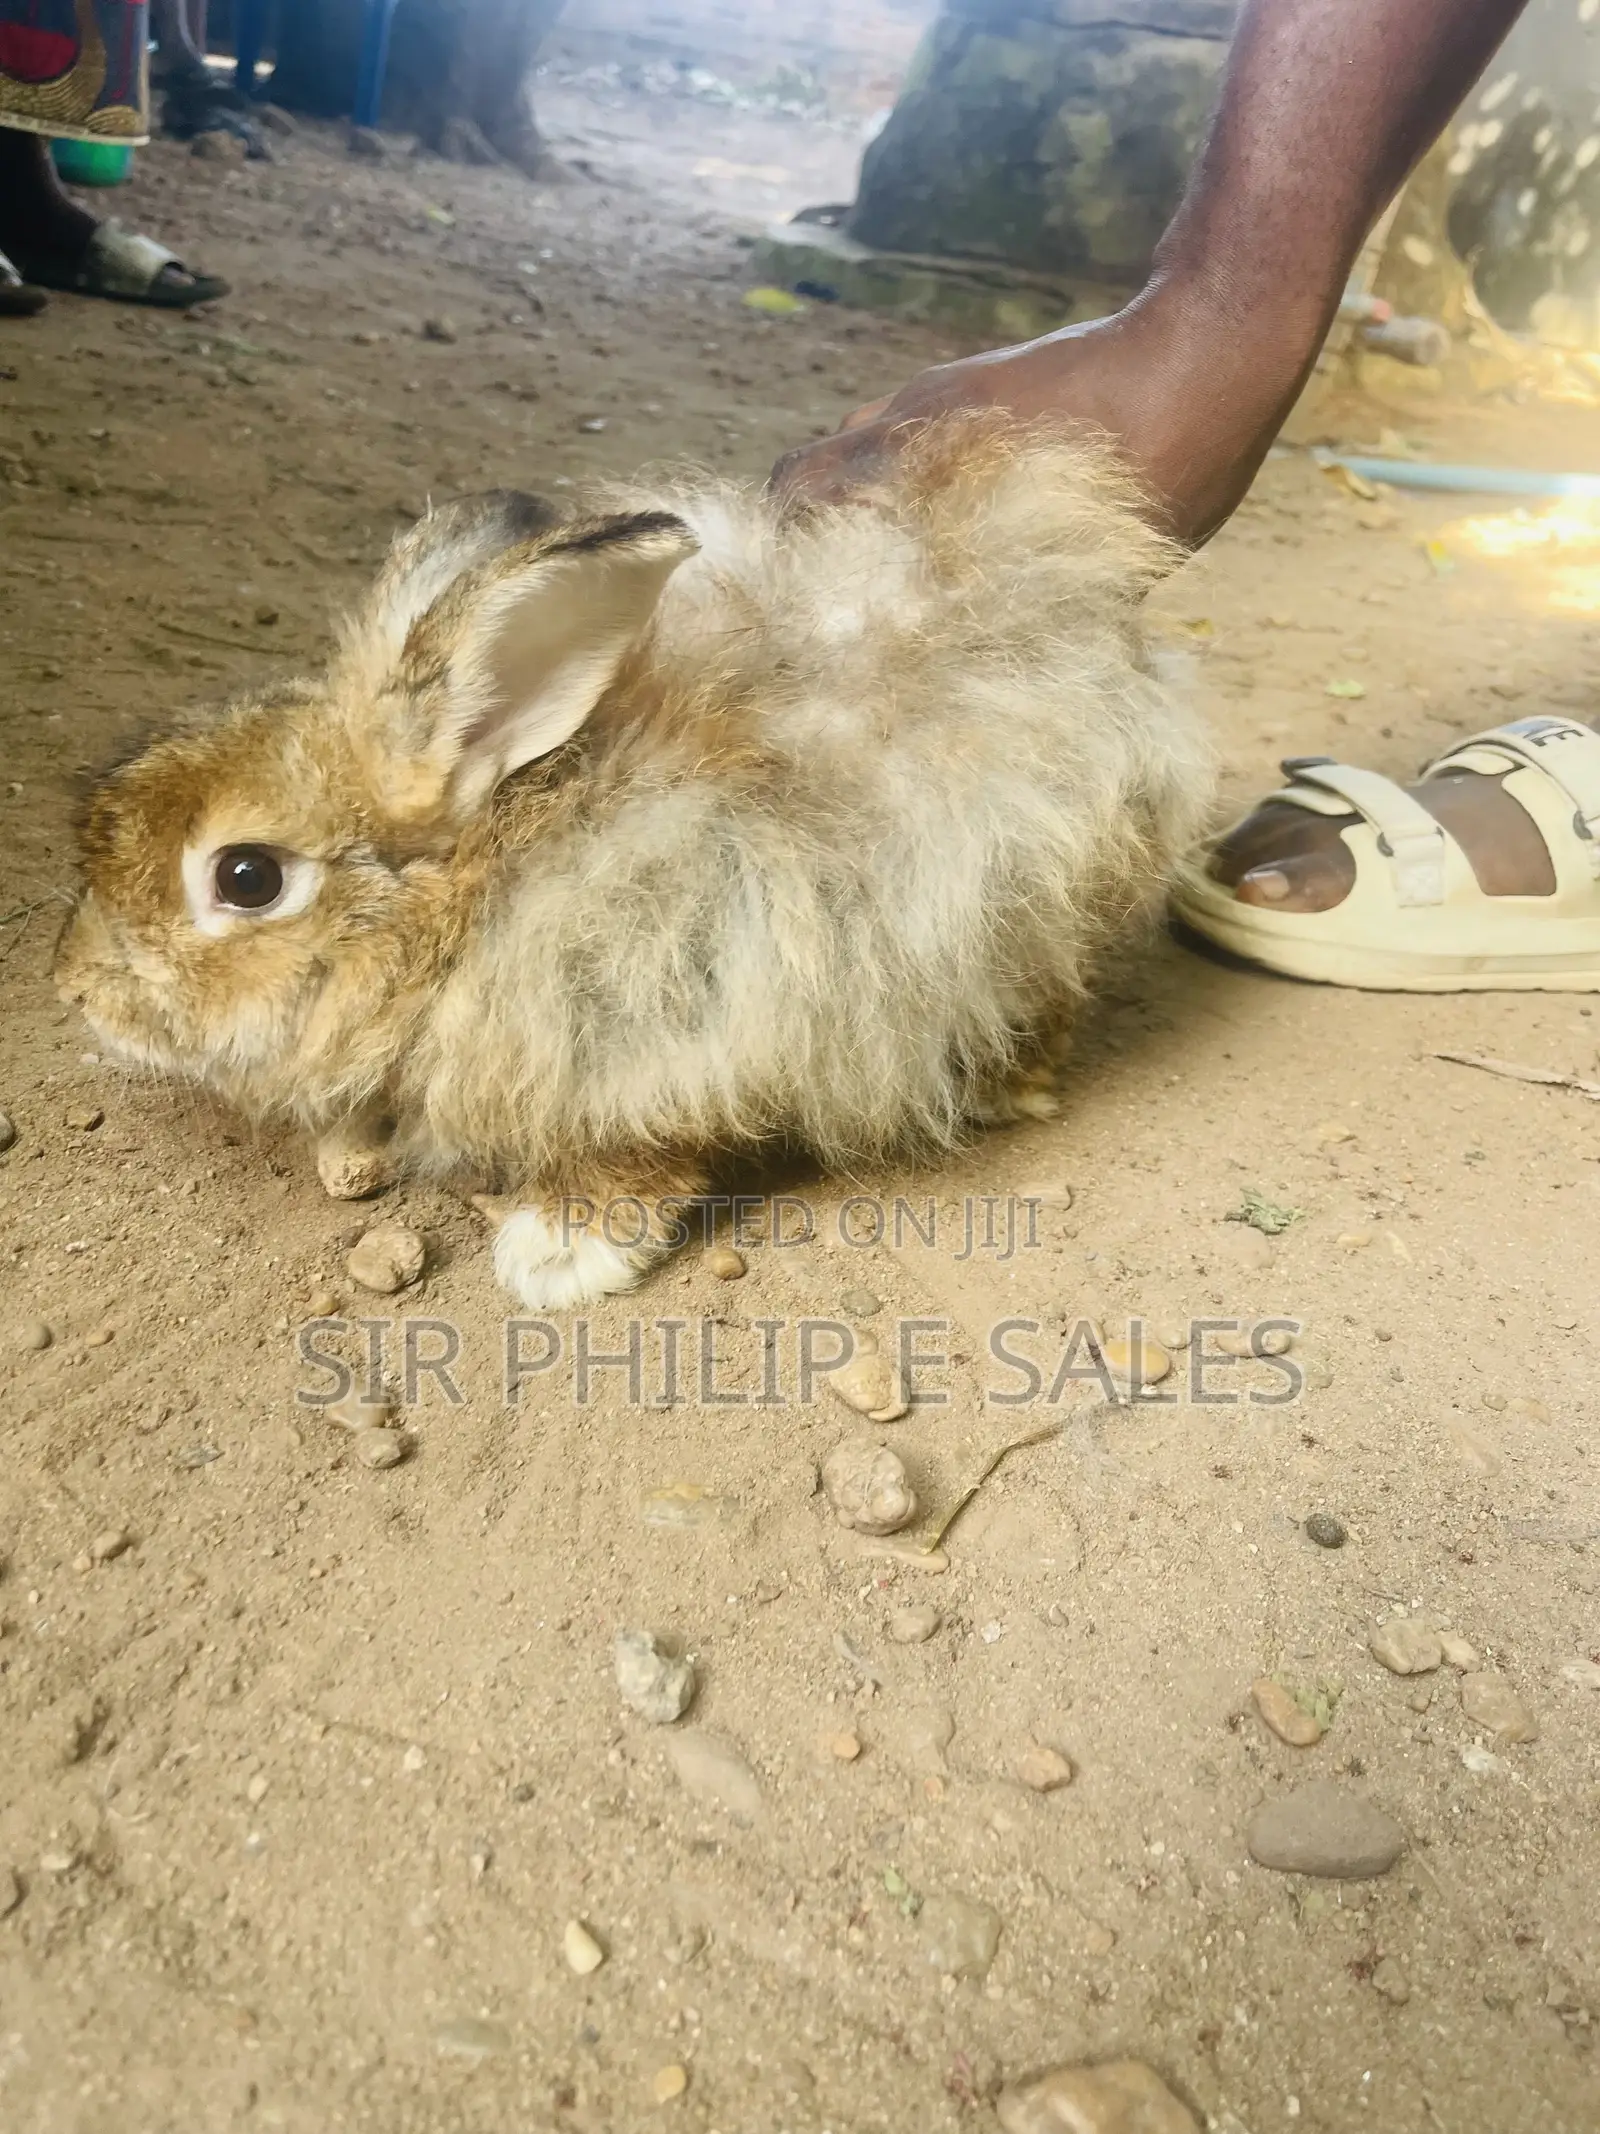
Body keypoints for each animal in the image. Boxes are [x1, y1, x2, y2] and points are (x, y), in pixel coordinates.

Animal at [56, 412, 1211, 1309]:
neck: (474, 893)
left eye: (246, 877)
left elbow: (638, 1155)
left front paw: (556, 1255)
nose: (74, 990)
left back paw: (1001, 1089)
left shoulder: (665, 1021)